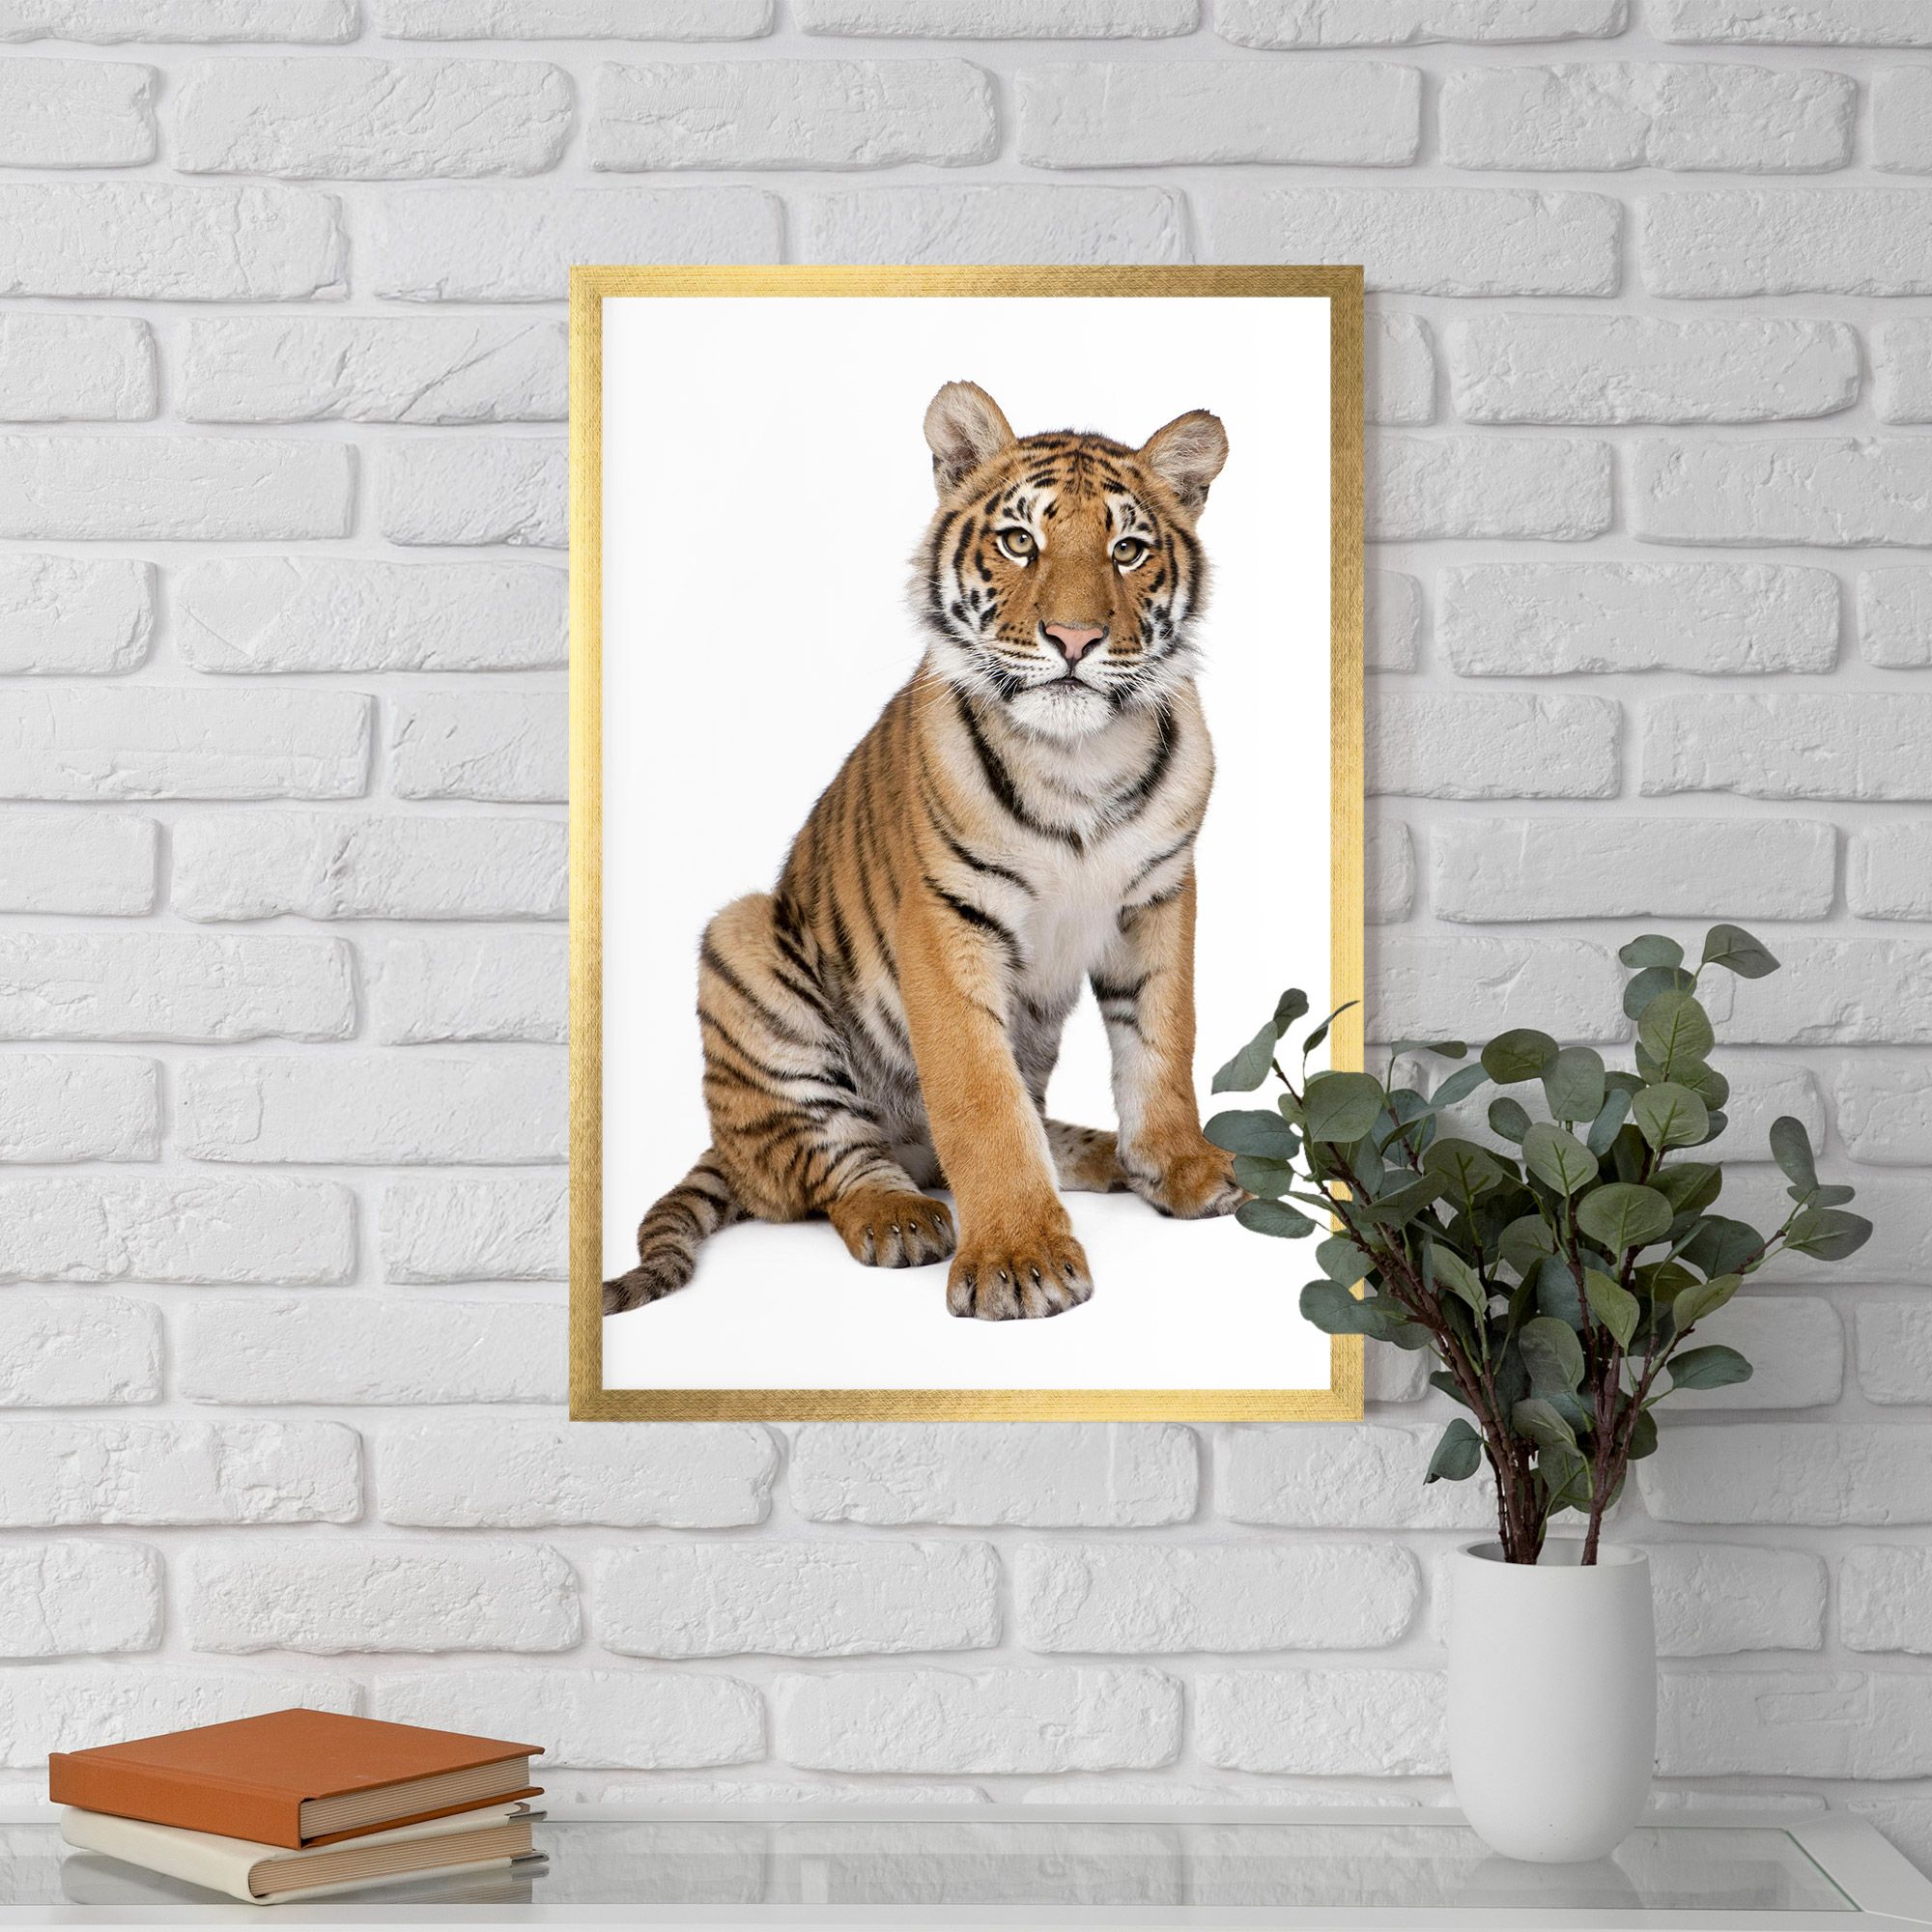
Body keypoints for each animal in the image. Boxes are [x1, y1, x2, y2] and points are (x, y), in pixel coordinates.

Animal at [604, 379, 1242, 1323]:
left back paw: (1098, 1155)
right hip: (743, 941)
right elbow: (980, 1101)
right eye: (1020, 541)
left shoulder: (1158, 897)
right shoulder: (946, 923)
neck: (1078, 758)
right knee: (829, 1166)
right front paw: (1020, 1259)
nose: (1075, 640)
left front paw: (1181, 1169)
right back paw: (901, 1218)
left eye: (1127, 551)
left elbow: (1163, 1043)